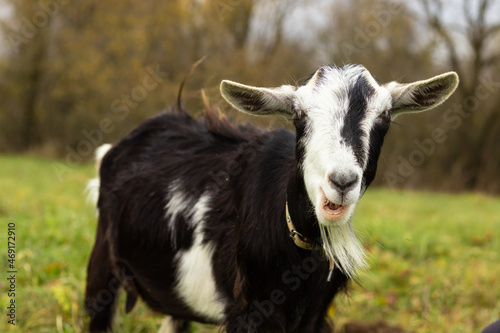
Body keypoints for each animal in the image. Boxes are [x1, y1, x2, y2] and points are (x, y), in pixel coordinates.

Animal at [85, 63, 458, 330]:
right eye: (299, 115)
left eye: (384, 116)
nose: (341, 181)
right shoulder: (248, 312)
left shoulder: (315, 315)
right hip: (102, 262)